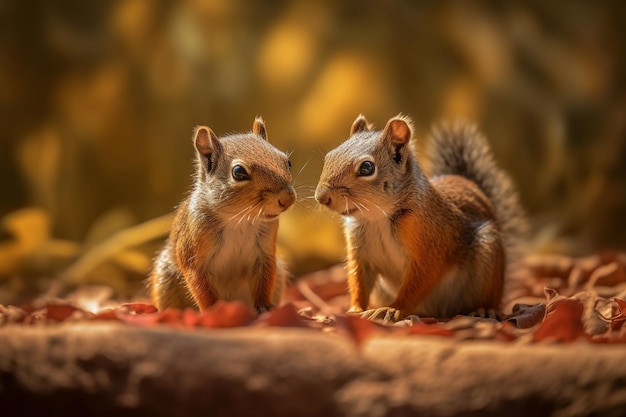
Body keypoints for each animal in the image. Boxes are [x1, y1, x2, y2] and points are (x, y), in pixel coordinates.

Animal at [148, 117, 294, 312]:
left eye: (288, 162)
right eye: (239, 172)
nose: (288, 198)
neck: (239, 219)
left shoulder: (265, 252)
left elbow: (264, 280)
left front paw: (264, 306)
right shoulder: (194, 256)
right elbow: (202, 288)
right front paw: (215, 310)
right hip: (165, 280)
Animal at [314, 114, 524, 322]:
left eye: (367, 167)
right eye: (328, 156)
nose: (321, 197)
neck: (376, 218)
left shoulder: (429, 245)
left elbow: (419, 280)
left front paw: (391, 309)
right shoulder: (360, 254)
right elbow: (359, 281)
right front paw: (355, 309)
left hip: (488, 255)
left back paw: (485, 310)